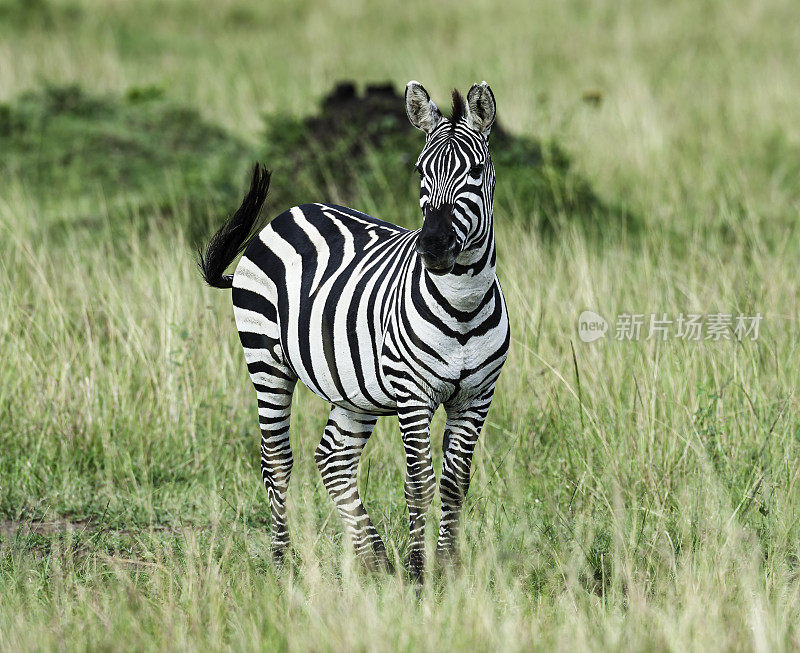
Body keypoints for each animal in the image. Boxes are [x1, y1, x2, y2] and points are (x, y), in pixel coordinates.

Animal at [200, 80, 512, 576]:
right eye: (420, 172)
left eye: (476, 172)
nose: (433, 247)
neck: (462, 305)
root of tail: (289, 211)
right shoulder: (412, 394)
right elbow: (419, 484)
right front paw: (420, 571)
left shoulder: (477, 397)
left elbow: (454, 484)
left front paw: (449, 567)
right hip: (265, 359)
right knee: (276, 460)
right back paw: (282, 561)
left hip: (352, 389)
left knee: (333, 459)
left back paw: (373, 558)